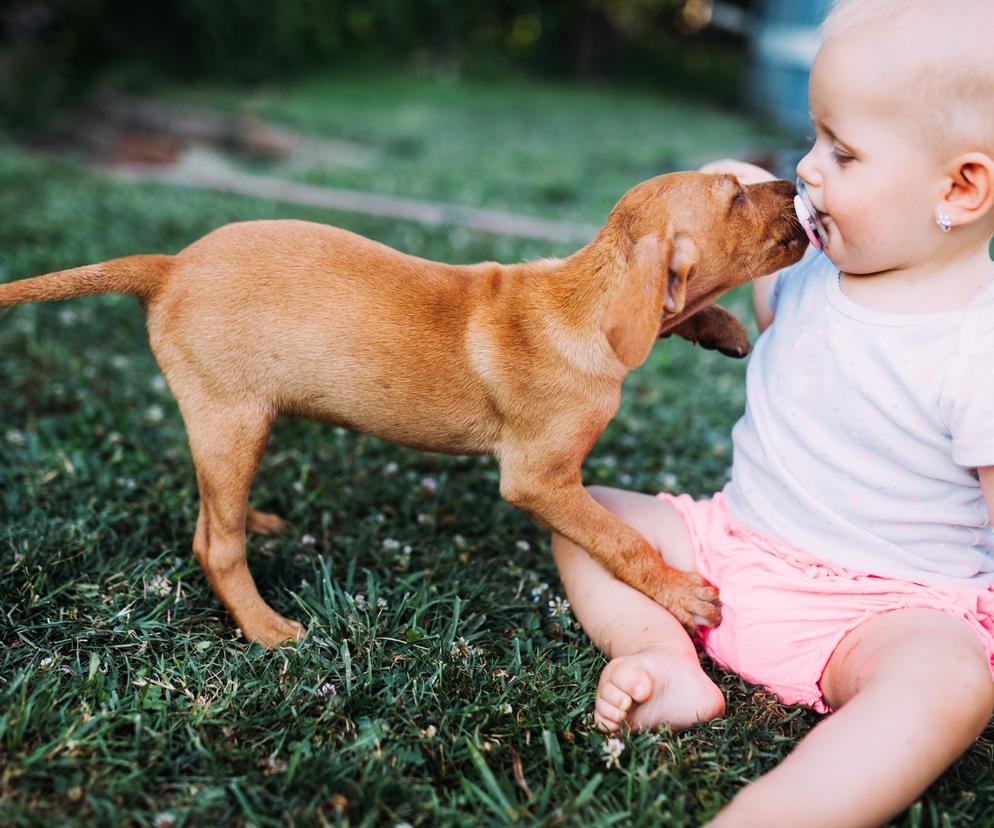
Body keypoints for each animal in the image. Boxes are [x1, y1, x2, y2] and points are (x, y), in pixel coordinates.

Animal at [0, 171, 808, 644]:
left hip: (232, 426)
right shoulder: (541, 480)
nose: (797, 179)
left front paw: (719, 326)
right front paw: (679, 594)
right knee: (214, 545)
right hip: (231, 417)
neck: (577, 297)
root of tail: (168, 267)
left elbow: (675, 313)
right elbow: (621, 539)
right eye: (736, 197)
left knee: (211, 511)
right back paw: (265, 626)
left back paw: (257, 520)